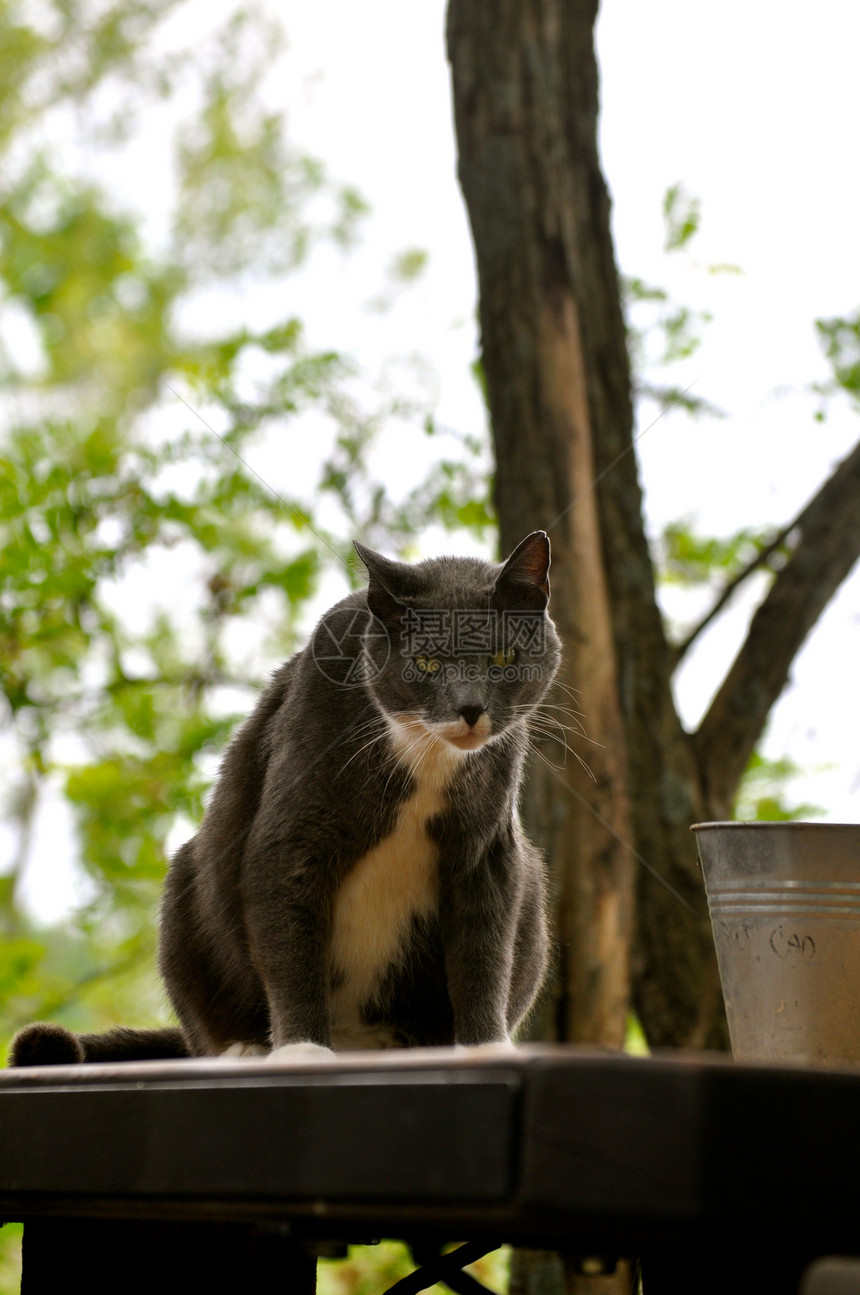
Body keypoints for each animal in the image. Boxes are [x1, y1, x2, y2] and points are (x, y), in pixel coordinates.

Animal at [10, 530, 562, 1067]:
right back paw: (245, 1047)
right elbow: (288, 933)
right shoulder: (293, 823)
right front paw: (300, 1048)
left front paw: (484, 1046)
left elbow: (484, 944)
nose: (469, 709)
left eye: (503, 658)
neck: (425, 758)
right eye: (427, 663)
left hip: (532, 880)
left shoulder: (487, 847)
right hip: (188, 883)